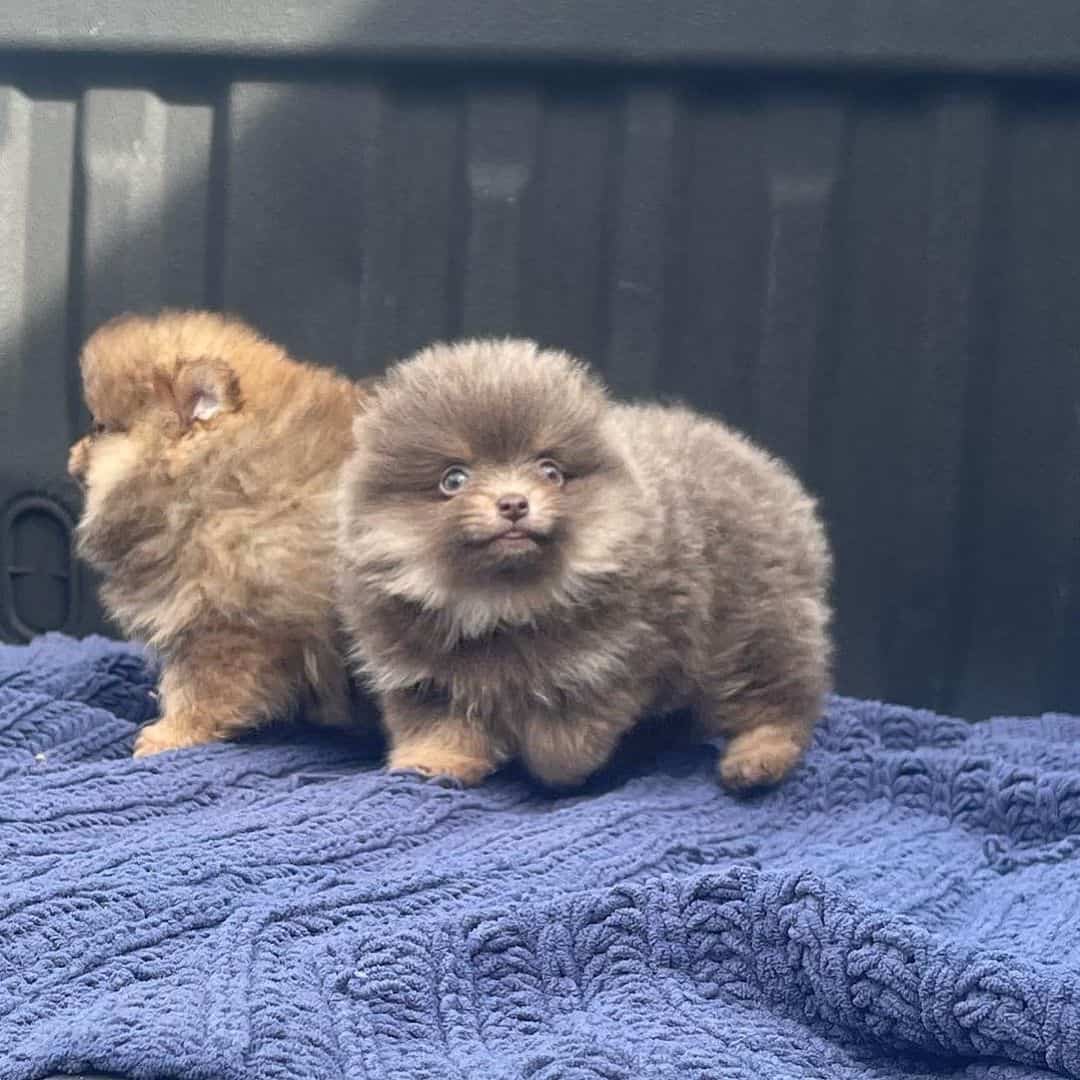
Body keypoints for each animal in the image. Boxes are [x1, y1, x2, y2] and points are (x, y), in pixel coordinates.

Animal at [341, 341, 829, 790]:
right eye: (453, 480)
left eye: (551, 471)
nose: (513, 503)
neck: (502, 604)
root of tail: (762, 466)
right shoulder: (424, 674)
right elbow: (439, 725)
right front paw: (433, 763)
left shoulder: (610, 663)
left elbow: (565, 742)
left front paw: (550, 766)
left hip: (756, 622)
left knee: (777, 701)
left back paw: (758, 758)